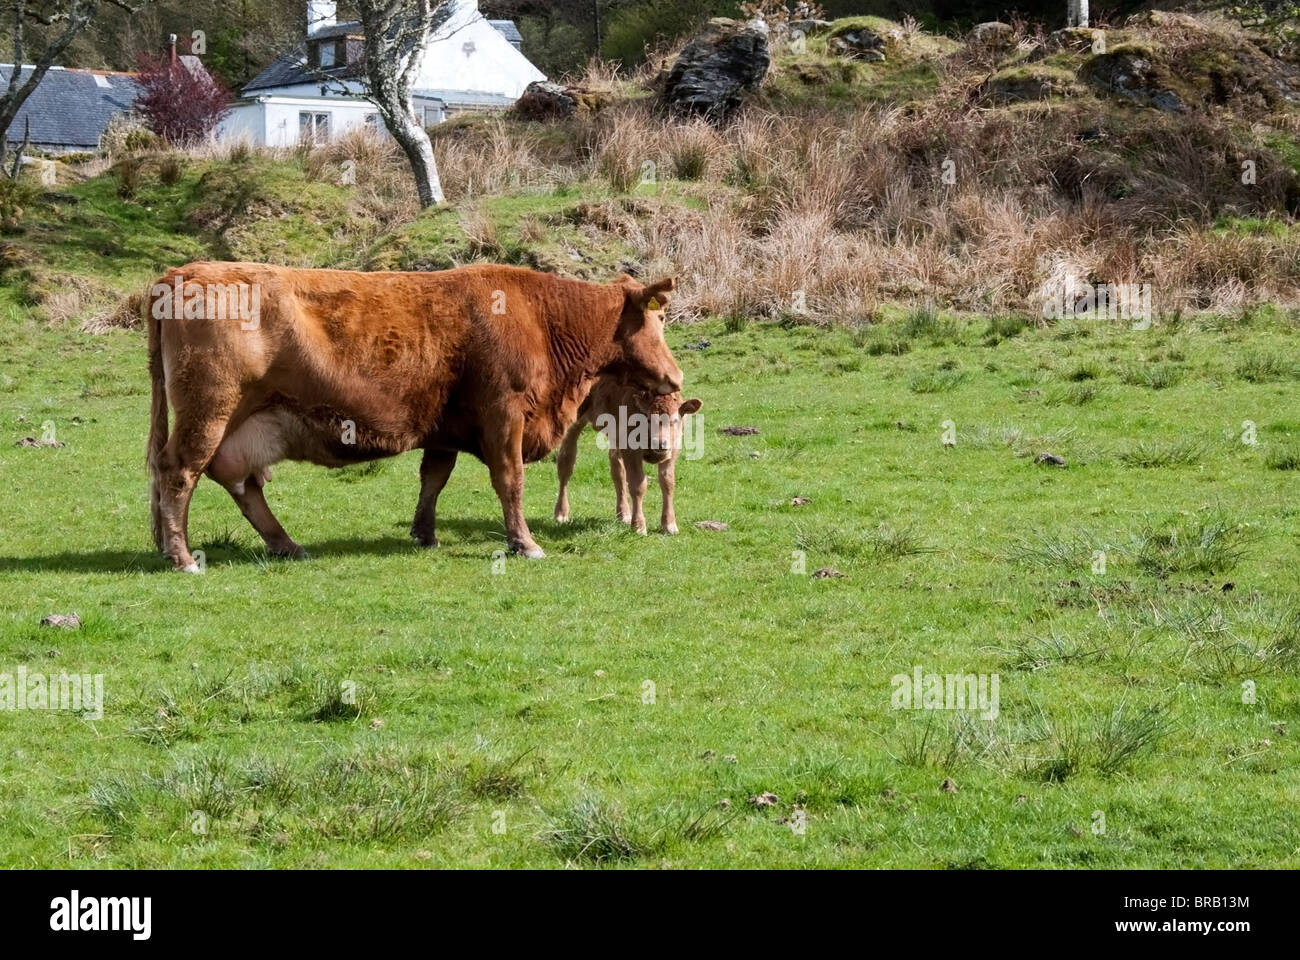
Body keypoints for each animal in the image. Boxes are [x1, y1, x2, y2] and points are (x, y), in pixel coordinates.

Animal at [145, 262, 683, 571]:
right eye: (656, 320)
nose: (676, 378)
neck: (541, 317)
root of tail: (177, 274)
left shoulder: (446, 427)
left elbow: (434, 479)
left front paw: (425, 534)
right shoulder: (504, 414)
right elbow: (510, 482)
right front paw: (524, 542)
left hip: (237, 423)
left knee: (237, 482)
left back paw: (285, 545)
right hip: (208, 410)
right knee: (179, 472)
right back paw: (183, 556)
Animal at [553, 376, 703, 535]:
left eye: (674, 420)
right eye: (648, 419)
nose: (660, 443)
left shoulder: (673, 450)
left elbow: (667, 482)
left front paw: (669, 525)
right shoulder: (631, 450)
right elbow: (638, 484)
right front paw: (638, 526)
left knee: (617, 471)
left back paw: (624, 514)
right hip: (574, 423)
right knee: (565, 464)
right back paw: (561, 513)